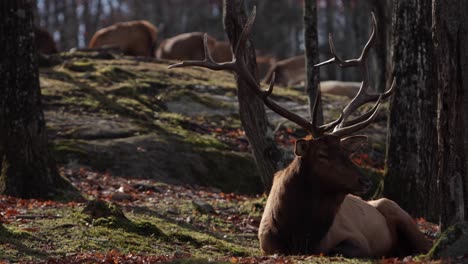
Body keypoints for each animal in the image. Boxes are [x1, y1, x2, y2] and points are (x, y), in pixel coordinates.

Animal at [168, 8, 432, 258]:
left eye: (346, 152)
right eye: (322, 154)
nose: (365, 180)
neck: (299, 232)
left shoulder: (356, 239)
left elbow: (341, 248)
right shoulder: (267, 243)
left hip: (398, 211)